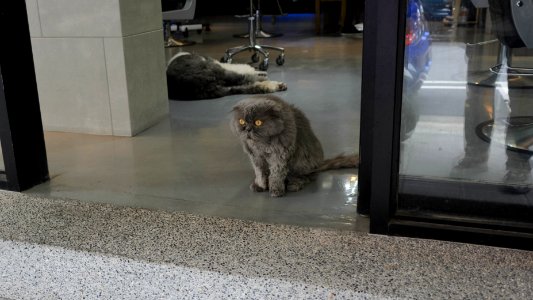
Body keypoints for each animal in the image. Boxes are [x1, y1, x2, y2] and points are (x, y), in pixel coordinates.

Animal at [229, 94, 358, 197]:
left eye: (258, 122)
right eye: (241, 121)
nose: (247, 129)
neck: (261, 144)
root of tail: (319, 163)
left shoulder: (279, 156)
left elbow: (276, 174)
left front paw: (275, 190)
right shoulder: (255, 156)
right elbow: (260, 172)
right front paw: (260, 185)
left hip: (302, 162)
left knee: (309, 176)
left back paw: (294, 184)